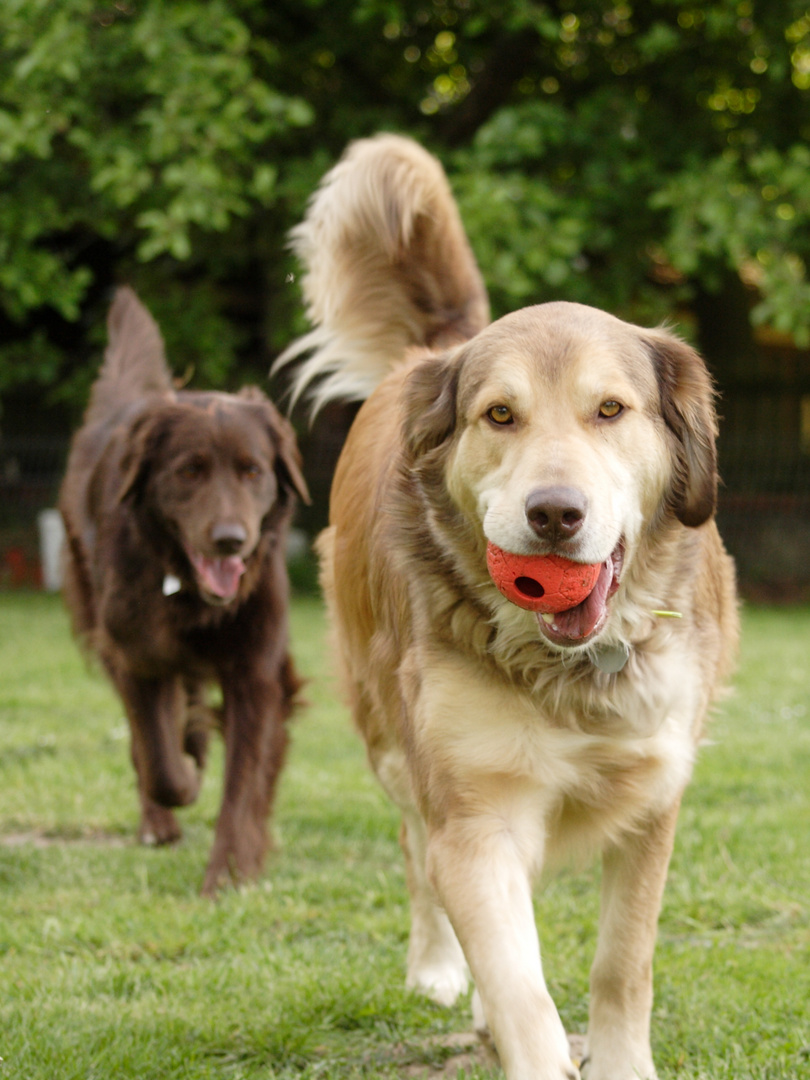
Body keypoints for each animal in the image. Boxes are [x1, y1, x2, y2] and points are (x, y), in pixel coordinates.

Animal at [61, 285, 311, 894]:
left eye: (252, 471)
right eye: (189, 471)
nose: (230, 540)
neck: (192, 597)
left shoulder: (255, 668)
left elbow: (244, 777)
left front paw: (229, 871)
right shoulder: (135, 654)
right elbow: (160, 763)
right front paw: (184, 780)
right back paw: (162, 813)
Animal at [280, 135, 743, 1080]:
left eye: (611, 410)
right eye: (499, 415)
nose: (554, 514)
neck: (573, 666)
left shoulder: (653, 796)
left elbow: (622, 962)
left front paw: (619, 1060)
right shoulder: (474, 814)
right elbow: (516, 979)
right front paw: (515, 1032)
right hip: (390, 737)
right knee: (417, 855)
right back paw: (437, 971)